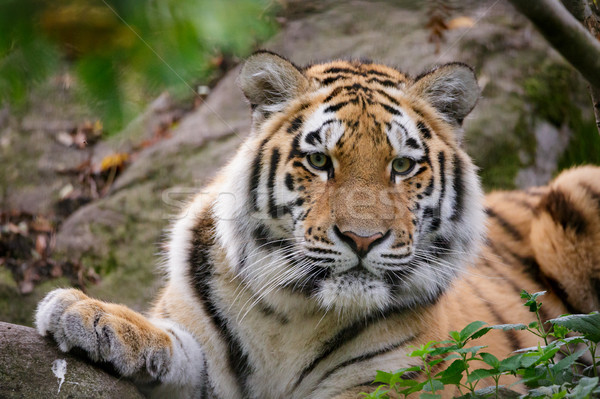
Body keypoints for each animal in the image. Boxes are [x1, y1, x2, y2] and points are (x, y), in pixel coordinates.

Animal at [34, 51, 600, 398]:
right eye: (320, 161)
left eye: (402, 165)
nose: (363, 238)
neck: (291, 315)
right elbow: (175, 343)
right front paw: (89, 316)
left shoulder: (394, 383)